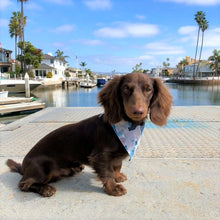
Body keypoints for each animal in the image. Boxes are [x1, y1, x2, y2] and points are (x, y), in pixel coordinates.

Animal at [6, 73, 173, 197]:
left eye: (148, 89)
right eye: (126, 88)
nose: (138, 111)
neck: (127, 127)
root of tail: (24, 166)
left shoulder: (115, 157)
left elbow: (116, 166)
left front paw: (118, 176)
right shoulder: (101, 156)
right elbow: (107, 172)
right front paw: (113, 188)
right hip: (41, 168)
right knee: (24, 184)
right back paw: (45, 188)